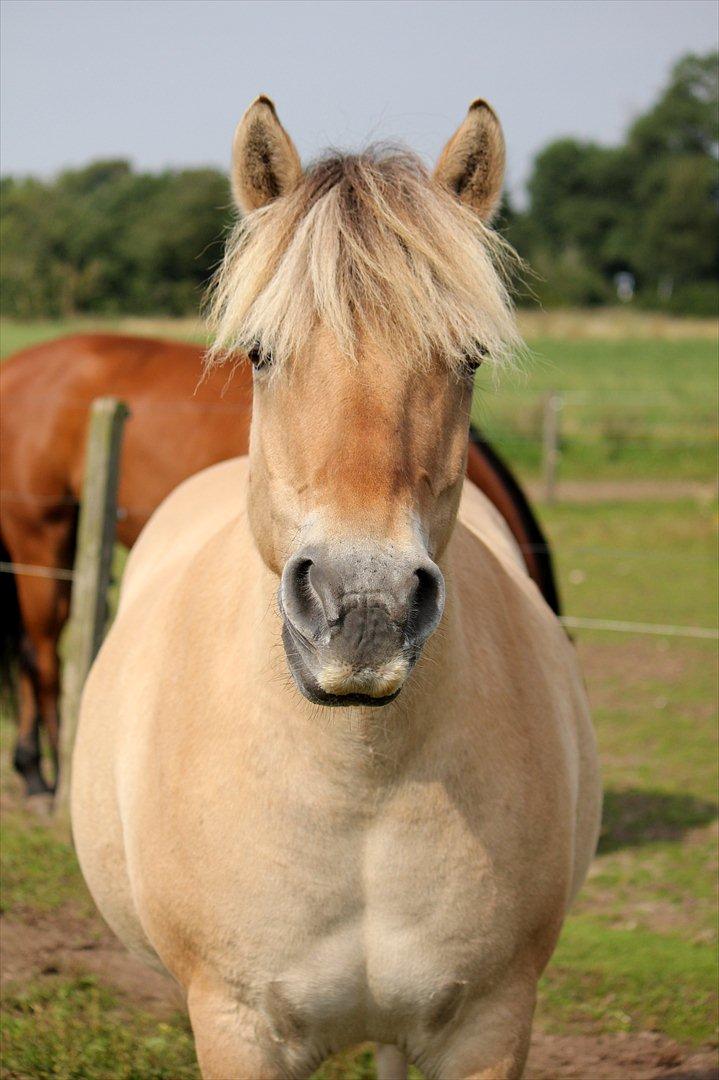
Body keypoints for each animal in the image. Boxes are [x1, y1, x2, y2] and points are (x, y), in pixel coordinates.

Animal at [72, 97, 600, 1075]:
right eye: (259, 353)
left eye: (469, 357)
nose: (363, 612)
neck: (360, 785)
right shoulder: (238, 1025)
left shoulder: (489, 1023)